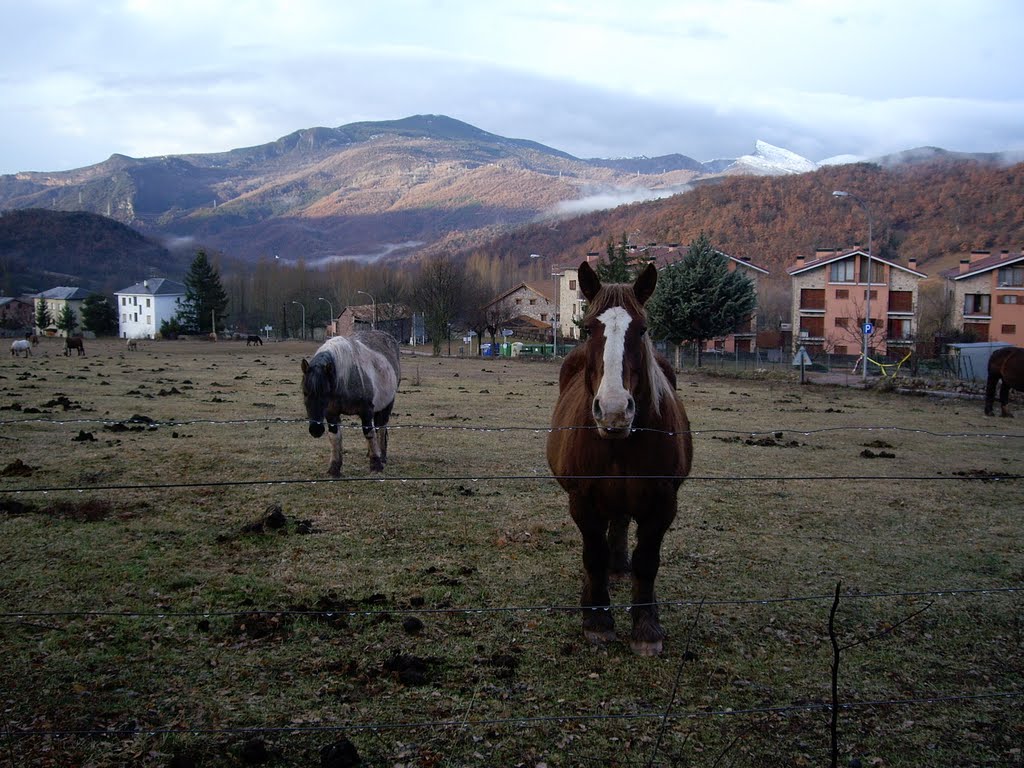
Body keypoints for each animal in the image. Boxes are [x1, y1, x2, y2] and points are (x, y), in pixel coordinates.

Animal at [299, 331, 399, 479]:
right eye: (305, 392)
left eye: (325, 393)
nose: (315, 429)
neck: (344, 381)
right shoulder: (331, 414)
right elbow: (335, 437)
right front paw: (334, 468)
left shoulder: (366, 411)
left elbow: (369, 433)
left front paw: (376, 465)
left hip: (387, 405)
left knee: (381, 428)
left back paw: (382, 456)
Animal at [544, 262, 696, 659]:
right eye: (587, 328)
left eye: (642, 329)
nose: (613, 410)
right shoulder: (582, 501)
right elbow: (593, 554)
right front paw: (597, 620)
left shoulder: (662, 503)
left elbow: (647, 561)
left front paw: (646, 627)